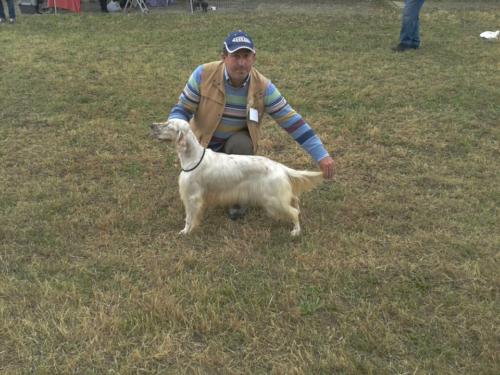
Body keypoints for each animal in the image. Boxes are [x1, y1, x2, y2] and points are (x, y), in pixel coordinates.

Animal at [149, 120, 324, 236]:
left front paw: (186, 231)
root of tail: (279, 167)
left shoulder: (191, 196)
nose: (151, 125)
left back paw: (296, 231)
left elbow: (189, 218)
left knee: (294, 212)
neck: (193, 157)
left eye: (168, 125)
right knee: (295, 202)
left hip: (274, 200)